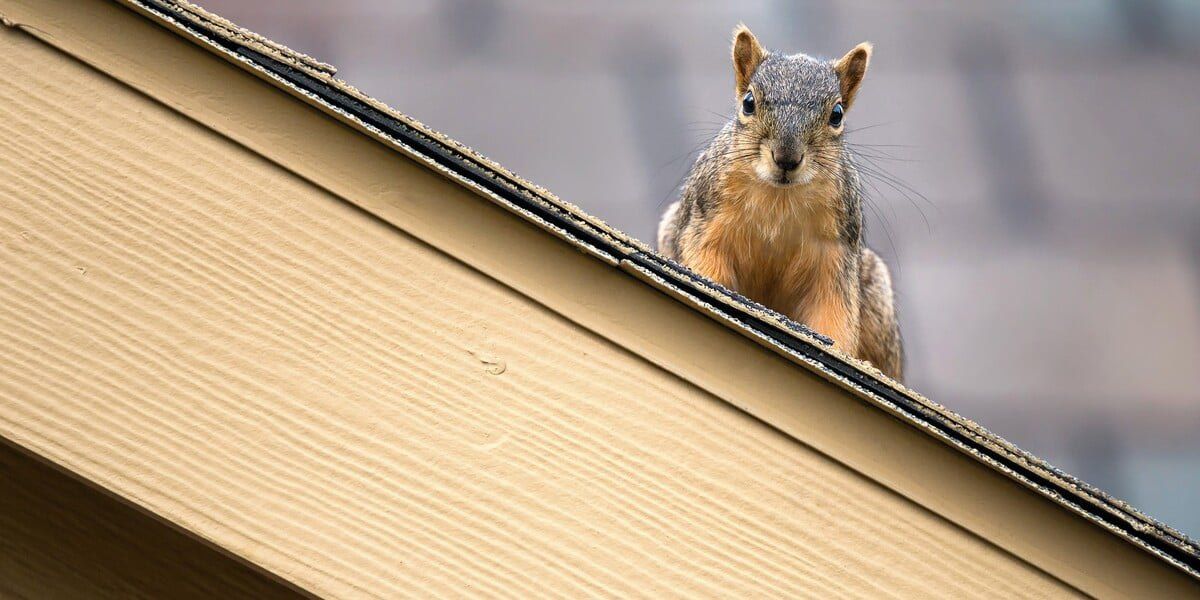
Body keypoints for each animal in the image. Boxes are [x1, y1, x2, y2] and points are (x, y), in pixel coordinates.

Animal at [657, 24, 902, 379]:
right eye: (748, 103)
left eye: (837, 115)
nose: (787, 158)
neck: (780, 197)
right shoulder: (707, 222)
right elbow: (706, 265)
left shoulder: (834, 253)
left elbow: (833, 311)